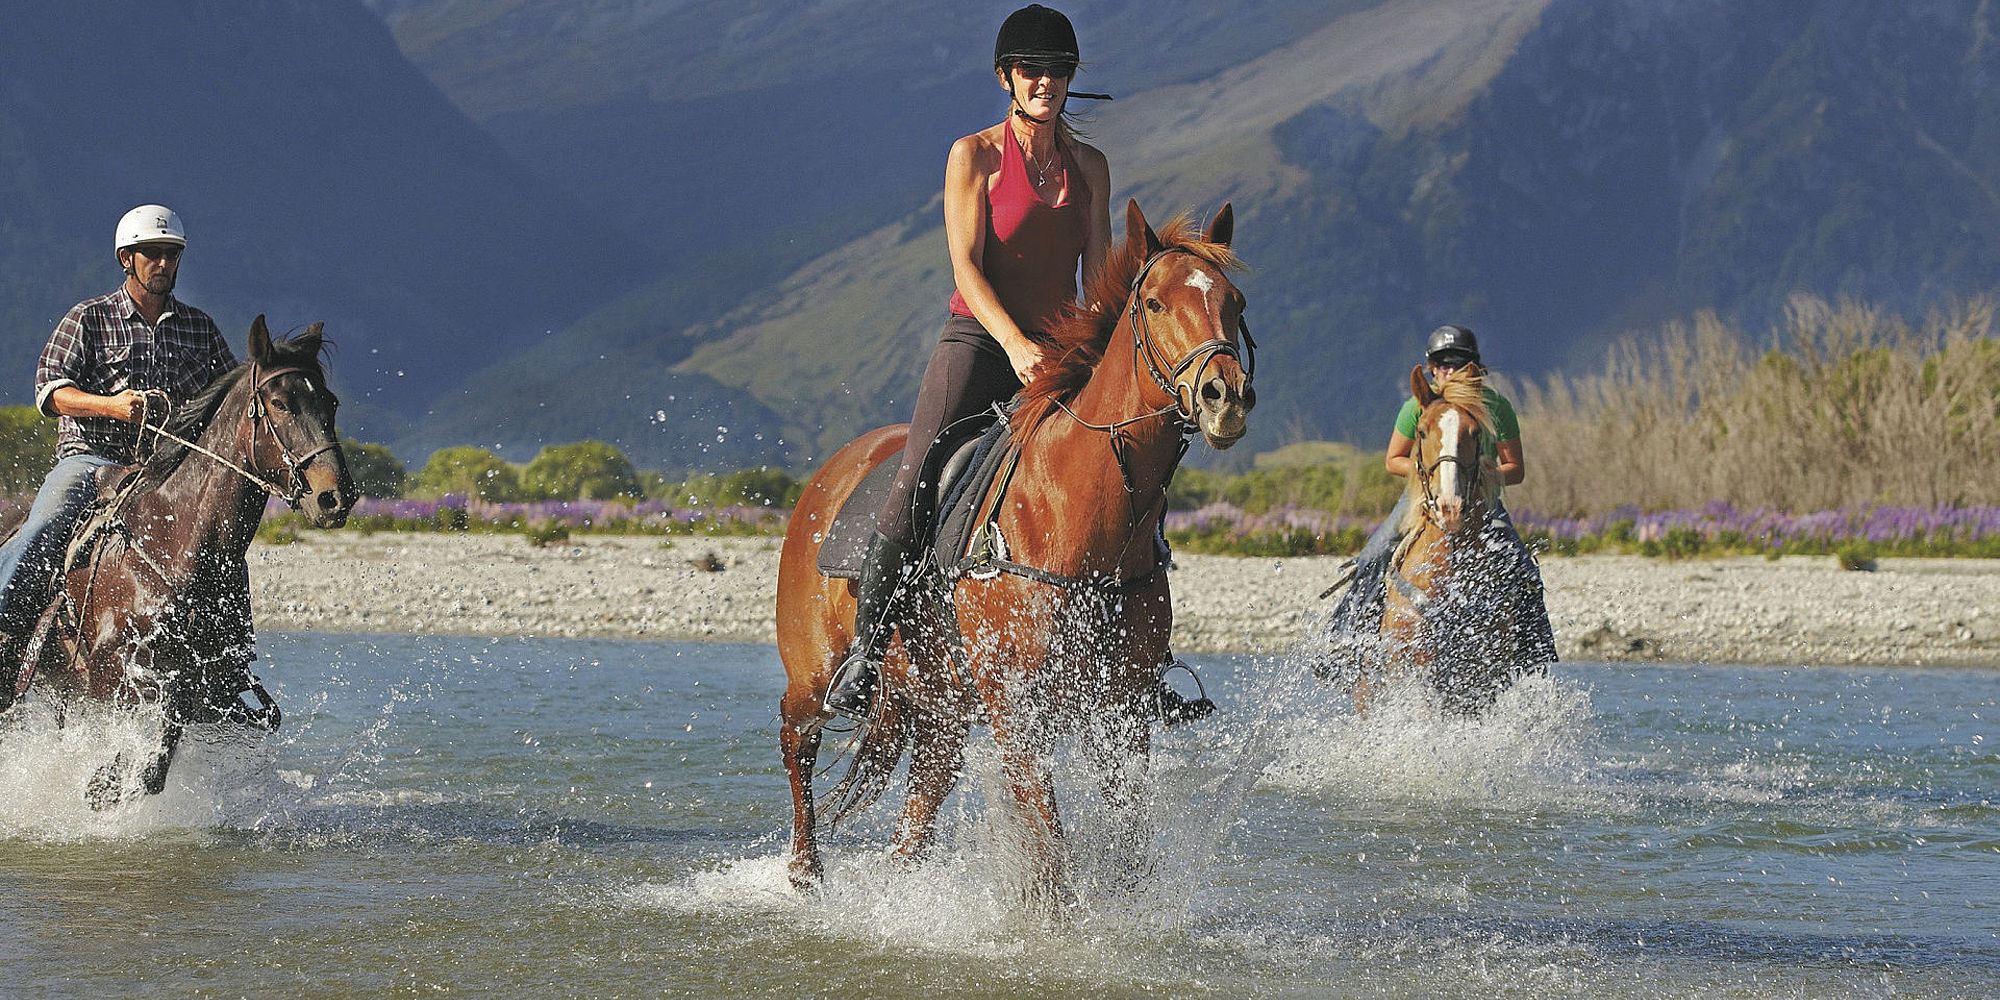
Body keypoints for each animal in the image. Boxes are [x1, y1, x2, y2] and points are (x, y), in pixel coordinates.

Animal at [0, 315, 354, 806]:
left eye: (330, 402)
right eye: (280, 403)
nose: (335, 496)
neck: (173, 545)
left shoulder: (212, 683)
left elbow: (162, 749)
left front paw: (111, 778)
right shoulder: (108, 668)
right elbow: (155, 698)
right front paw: (106, 780)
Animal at [775, 201, 1254, 909]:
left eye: (1235, 302)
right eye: (1156, 304)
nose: (1226, 398)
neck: (1082, 520)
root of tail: (829, 476)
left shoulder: (1121, 716)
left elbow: (1127, 846)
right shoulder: (1017, 711)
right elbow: (1048, 852)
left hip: (940, 714)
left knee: (915, 819)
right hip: (816, 675)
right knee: (796, 740)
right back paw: (805, 875)